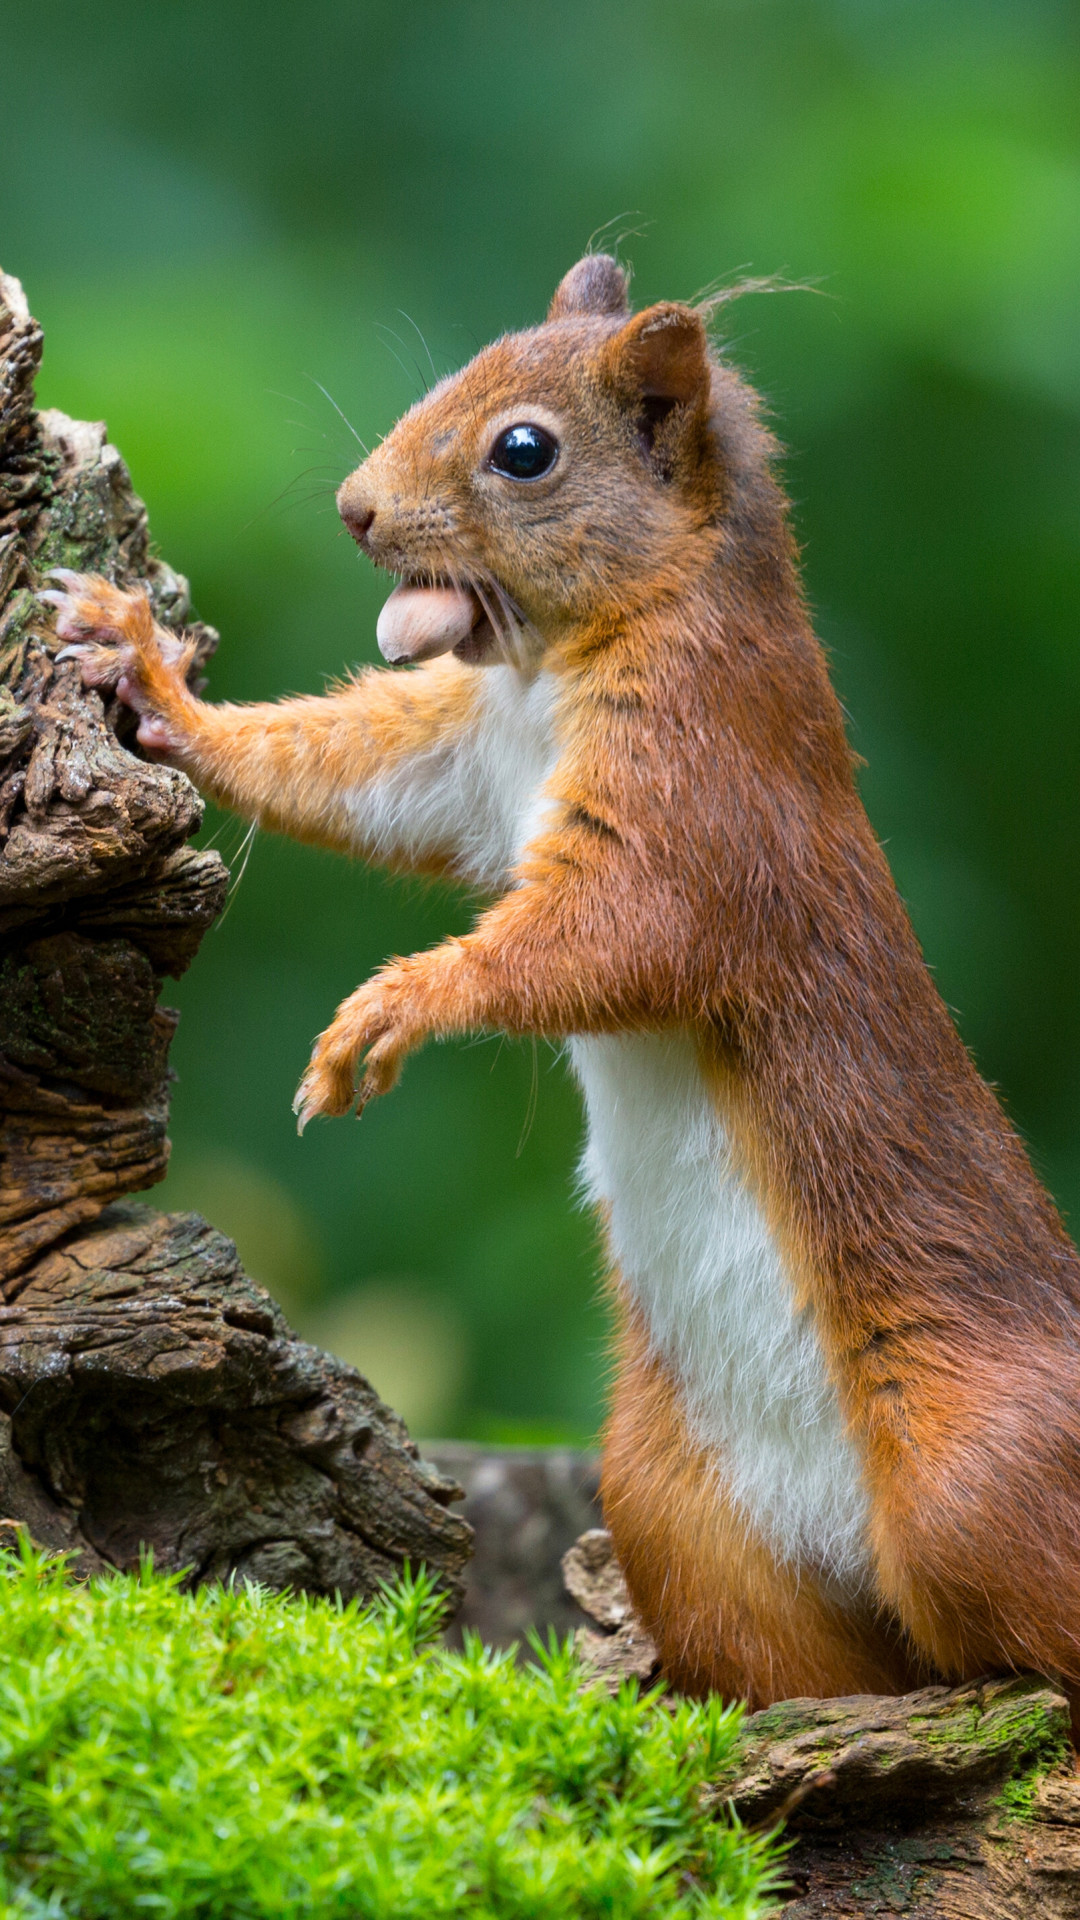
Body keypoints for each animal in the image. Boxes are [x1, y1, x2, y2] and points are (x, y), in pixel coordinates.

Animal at [42, 251, 1080, 1712]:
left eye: (523, 451)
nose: (356, 508)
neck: (561, 664)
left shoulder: (705, 798)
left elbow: (611, 939)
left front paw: (387, 1012)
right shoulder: (461, 759)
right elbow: (345, 771)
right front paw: (148, 679)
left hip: (976, 1474)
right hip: (678, 1513)